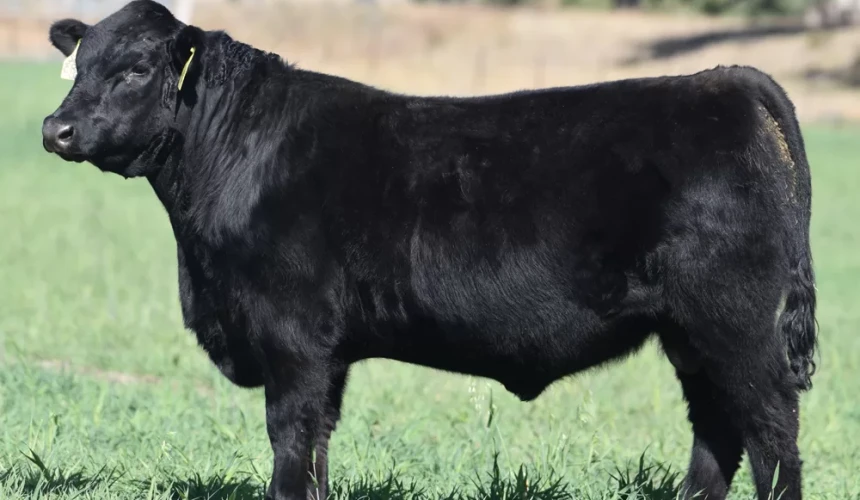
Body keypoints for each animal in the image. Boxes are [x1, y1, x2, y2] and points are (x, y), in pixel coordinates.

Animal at [41, 1, 818, 499]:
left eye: (136, 70)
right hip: (690, 334)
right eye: (78, 65)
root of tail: (723, 80)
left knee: (772, 432)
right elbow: (318, 447)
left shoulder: (293, 338)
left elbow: (291, 443)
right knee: (716, 430)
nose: (56, 130)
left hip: (735, 325)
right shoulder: (326, 353)